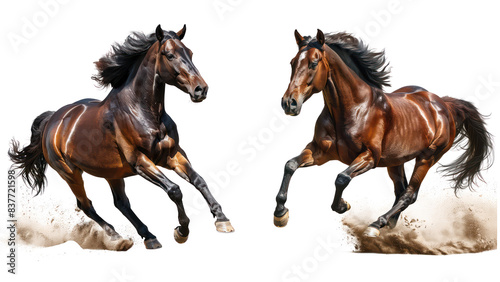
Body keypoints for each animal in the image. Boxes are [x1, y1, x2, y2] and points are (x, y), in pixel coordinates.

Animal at [8, 24, 234, 249]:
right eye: (169, 55)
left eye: (190, 53)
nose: (201, 89)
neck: (143, 112)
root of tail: (52, 120)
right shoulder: (140, 161)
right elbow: (174, 190)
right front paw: (181, 231)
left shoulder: (172, 155)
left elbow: (199, 180)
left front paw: (222, 220)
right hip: (70, 174)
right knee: (86, 204)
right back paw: (118, 237)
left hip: (111, 172)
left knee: (121, 203)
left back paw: (148, 237)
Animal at [276, 29, 494, 236]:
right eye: (292, 62)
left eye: (313, 63)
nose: (289, 103)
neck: (354, 108)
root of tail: (444, 104)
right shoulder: (320, 152)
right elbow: (290, 165)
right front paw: (280, 213)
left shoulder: (369, 157)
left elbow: (341, 178)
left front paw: (342, 205)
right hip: (395, 162)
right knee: (400, 191)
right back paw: (389, 227)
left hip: (427, 157)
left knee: (409, 194)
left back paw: (376, 225)